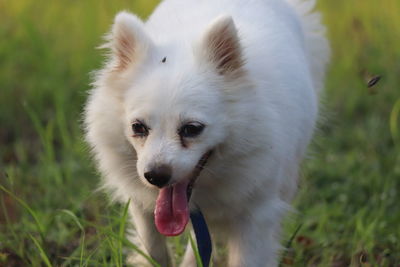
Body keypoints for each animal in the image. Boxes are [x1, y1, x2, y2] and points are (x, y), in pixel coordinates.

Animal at [83, 0, 328, 266]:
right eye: (138, 127)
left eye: (192, 129)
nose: (156, 176)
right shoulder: (143, 205)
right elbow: (153, 248)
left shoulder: (255, 213)